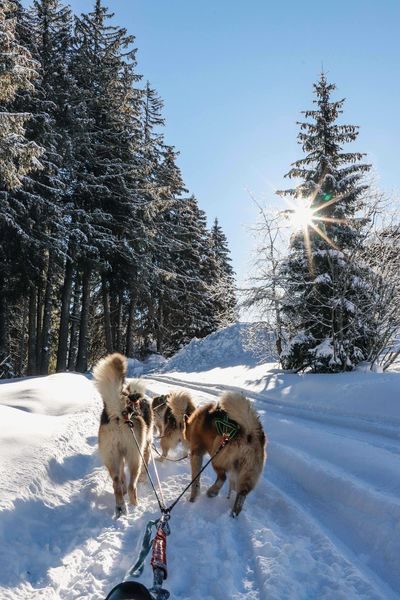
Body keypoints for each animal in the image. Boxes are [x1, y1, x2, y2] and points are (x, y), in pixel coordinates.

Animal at [93, 354, 152, 516]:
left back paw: (121, 507)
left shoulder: (120, 457)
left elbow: (121, 477)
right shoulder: (145, 449)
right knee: (132, 485)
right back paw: (134, 505)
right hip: (135, 457)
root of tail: (120, 413)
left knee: (116, 483)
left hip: (112, 457)